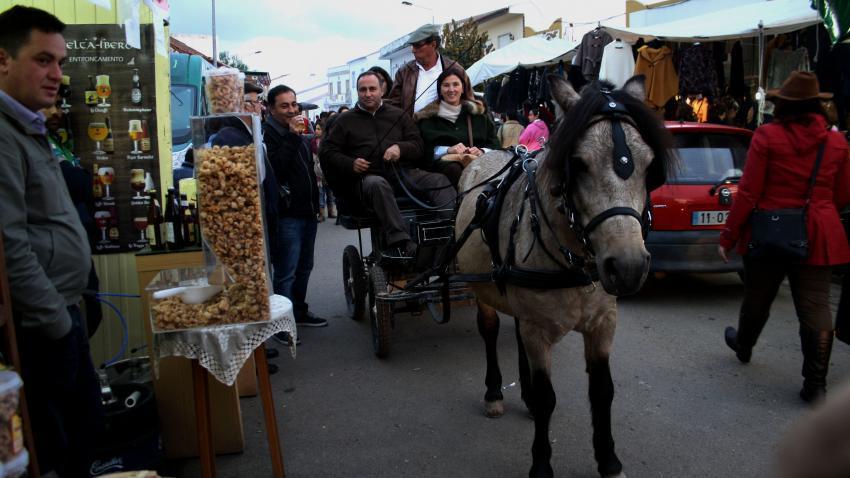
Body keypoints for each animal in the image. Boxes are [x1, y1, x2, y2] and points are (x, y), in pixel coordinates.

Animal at [454, 75, 672, 478]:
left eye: (649, 166)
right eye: (579, 164)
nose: (628, 266)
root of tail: (484, 155)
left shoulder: (603, 323)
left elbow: (602, 391)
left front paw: (608, 459)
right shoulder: (538, 329)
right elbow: (546, 398)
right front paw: (541, 464)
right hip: (482, 289)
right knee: (489, 331)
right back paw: (494, 392)